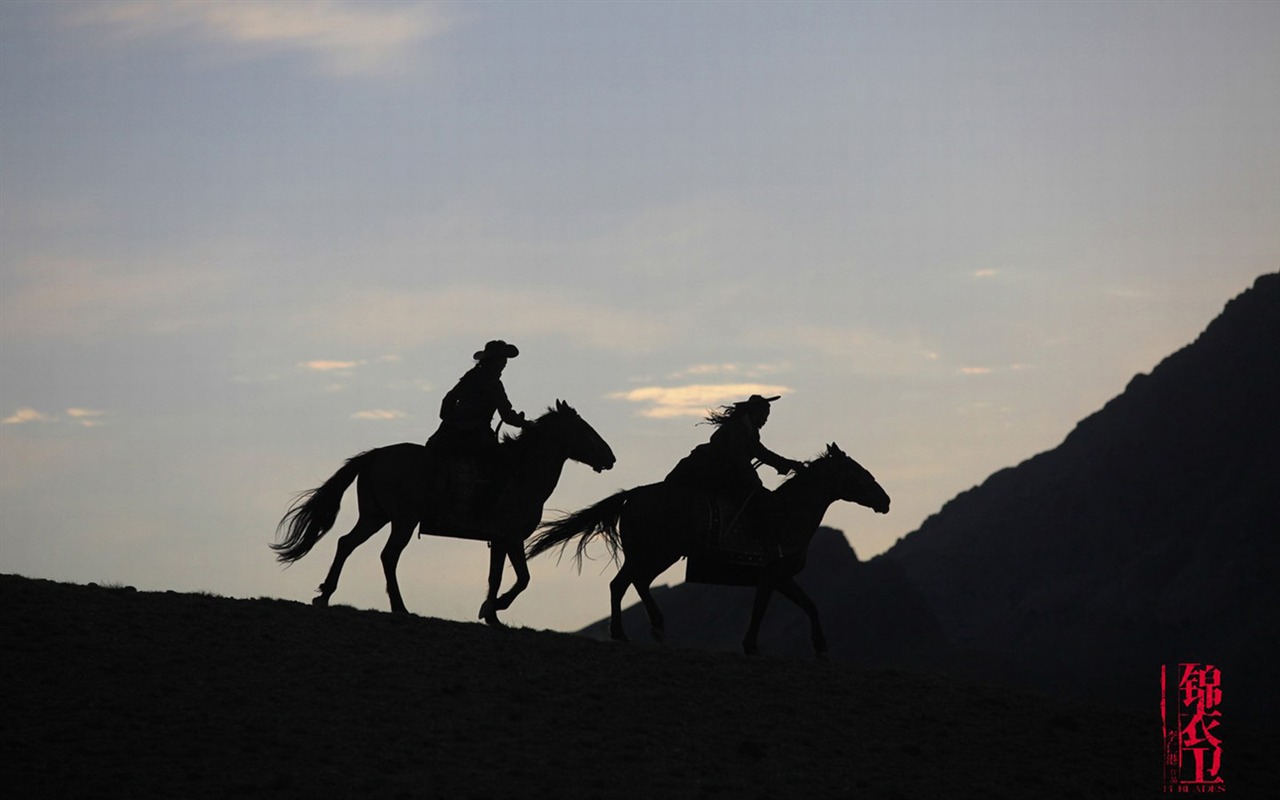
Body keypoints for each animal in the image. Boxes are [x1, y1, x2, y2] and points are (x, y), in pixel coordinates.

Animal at [271, 399, 614, 624]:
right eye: (585, 429)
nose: (610, 457)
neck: (523, 471)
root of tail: (374, 455)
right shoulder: (511, 537)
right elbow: (522, 579)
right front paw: (494, 609)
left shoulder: (498, 541)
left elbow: (497, 576)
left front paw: (491, 614)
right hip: (403, 521)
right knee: (388, 556)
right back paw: (399, 607)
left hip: (375, 516)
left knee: (346, 543)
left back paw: (325, 594)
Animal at [524, 442, 885, 655]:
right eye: (858, 473)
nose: (886, 501)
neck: (788, 514)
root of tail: (633, 494)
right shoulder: (772, 576)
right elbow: (762, 610)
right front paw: (751, 646)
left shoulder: (781, 579)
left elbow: (809, 605)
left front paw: (820, 645)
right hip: (658, 553)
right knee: (631, 582)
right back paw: (649, 627)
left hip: (647, 554)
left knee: (623, 583)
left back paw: (629, 631)